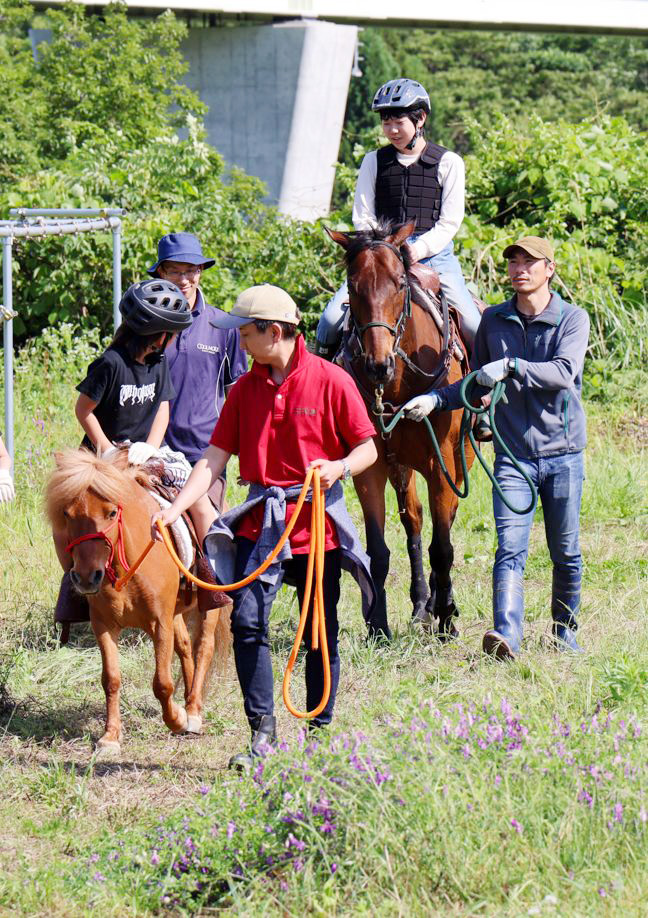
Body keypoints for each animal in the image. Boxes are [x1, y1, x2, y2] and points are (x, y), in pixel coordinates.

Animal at [44, 450, 230, 760]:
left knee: (203, 647)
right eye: (67, 514)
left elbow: (162, 684)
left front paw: (177, 719)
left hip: (208, 609)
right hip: (176, 613)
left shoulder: (160, 623)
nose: (86, 577)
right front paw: (110, 737)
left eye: (111, 512)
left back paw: (192, 710)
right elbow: (111, 679)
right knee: (185, 648)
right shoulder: (104, 626)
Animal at [330, 220, 476, 644]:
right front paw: (377, 625)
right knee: (413, 519)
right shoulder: (371, 467)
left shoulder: (442, 464)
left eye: (398, 283)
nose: (378, 365)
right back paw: (420, 604)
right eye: (353, 285)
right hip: (402, 466)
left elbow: (442, 547)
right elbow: (378, 550)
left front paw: (446, 618)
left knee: (443, 521)